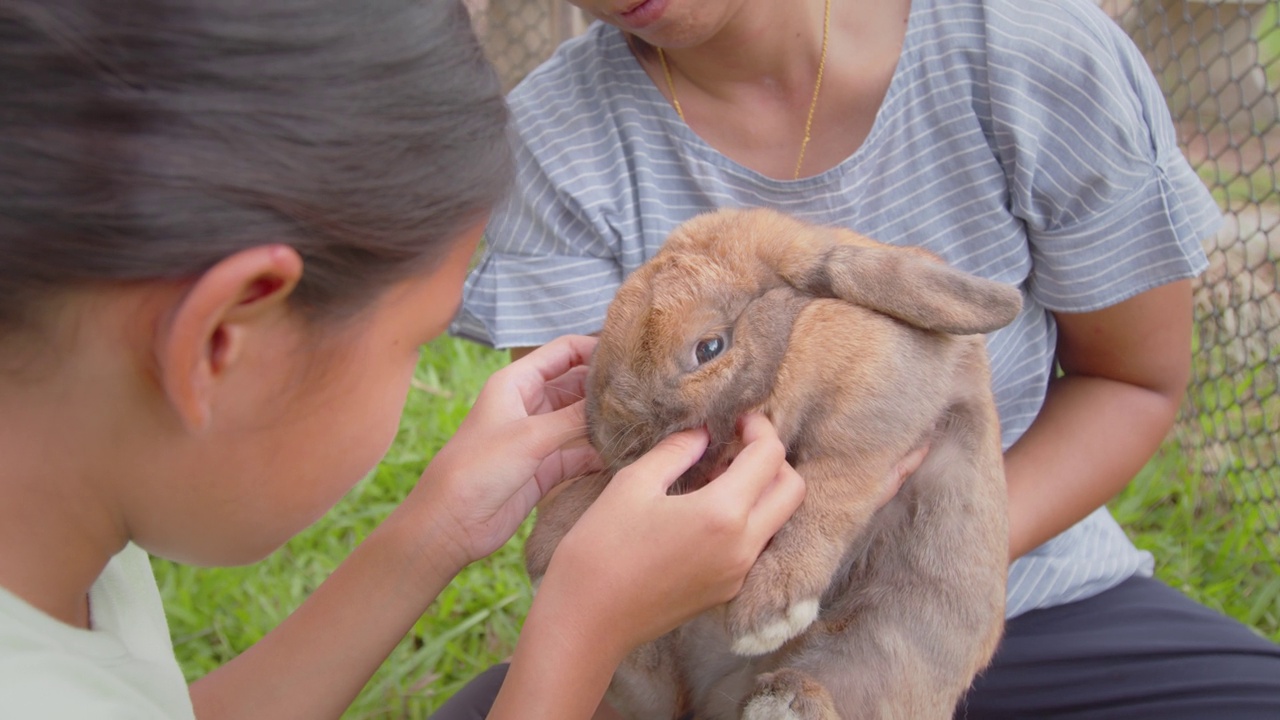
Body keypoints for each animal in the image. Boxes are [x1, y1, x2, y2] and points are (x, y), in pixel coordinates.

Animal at [522, 206, 1018, 717]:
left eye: (709, 348)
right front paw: (546, 545)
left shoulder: (870, 416)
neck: (795, 337)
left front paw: (768, 614)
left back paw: (783, 700)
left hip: (885, 639)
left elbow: (826, 496)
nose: (609, 437)